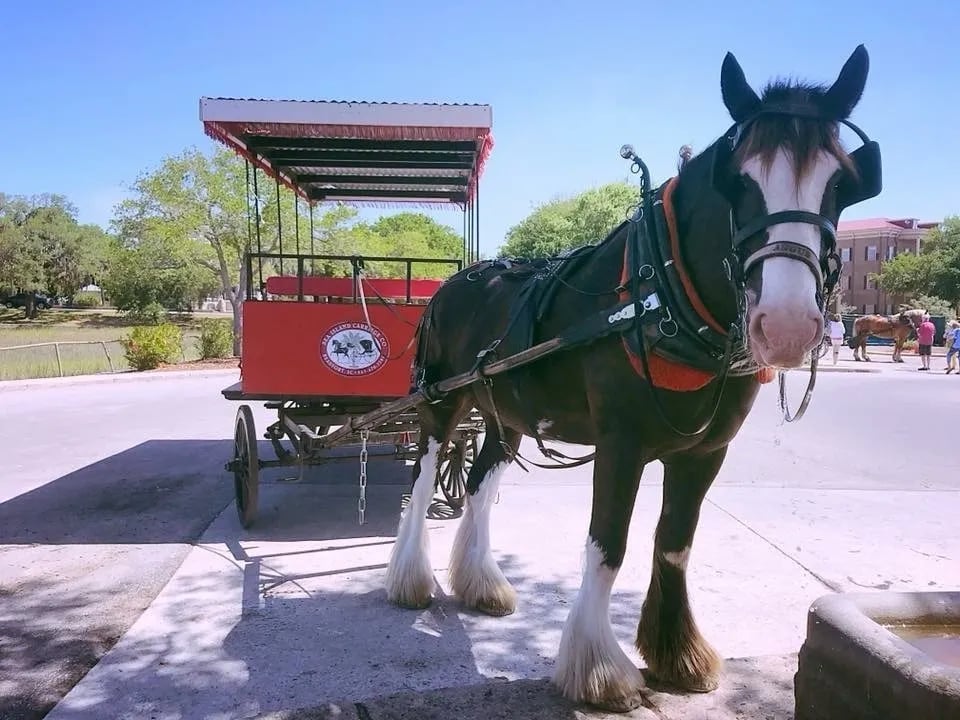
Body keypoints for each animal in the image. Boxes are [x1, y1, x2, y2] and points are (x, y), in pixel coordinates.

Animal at [383, 45, 882, 713]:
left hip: (503, 413)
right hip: (441, 401)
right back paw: (409, 578)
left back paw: (481, 584)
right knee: (422, 476)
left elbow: (674, 542)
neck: (662, 297)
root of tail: (453, 282)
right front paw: (598, 671)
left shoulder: (705, 452)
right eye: (738, 180)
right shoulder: (620, 445)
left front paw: (677, 654)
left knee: (483, 482)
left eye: (842, 182)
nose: (787, 323)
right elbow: (609, 545)